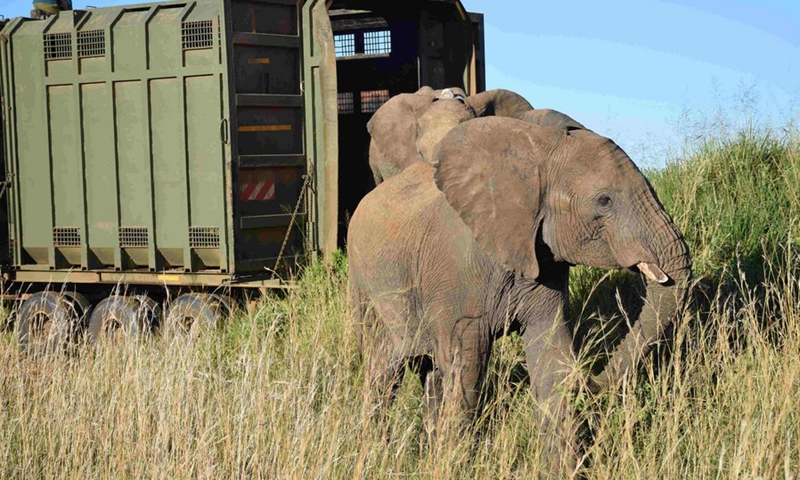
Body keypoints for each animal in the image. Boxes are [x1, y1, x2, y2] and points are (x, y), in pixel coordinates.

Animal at [348, 117, 692, 474]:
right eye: (604, 201)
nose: (588, 380)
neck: (536, 155)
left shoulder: (545, 262)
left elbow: (551, 358)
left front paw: (564, 471)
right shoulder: (455, 272)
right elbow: (466, 367)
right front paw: (457, 467)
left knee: (428, 373)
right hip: (363, 285)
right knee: (382, 368)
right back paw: (374, 452)